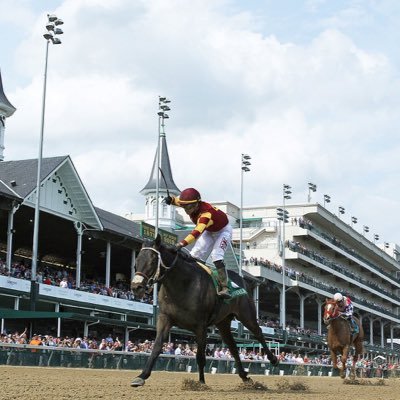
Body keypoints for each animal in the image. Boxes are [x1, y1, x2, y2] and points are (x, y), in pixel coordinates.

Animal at [130, 234, 278, 388]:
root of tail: (242, 280)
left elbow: (200, 356)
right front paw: (141, 376)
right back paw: (244, 376)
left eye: (153, 260)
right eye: (137, 261)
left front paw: (201, 382)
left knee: (258, 333)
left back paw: (273, 359)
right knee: (232, 346)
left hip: (246, 314)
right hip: (223, 323)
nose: (136, 287)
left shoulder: (201, 326)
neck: (182, 284)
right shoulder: (165, 318)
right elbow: (157, 347)